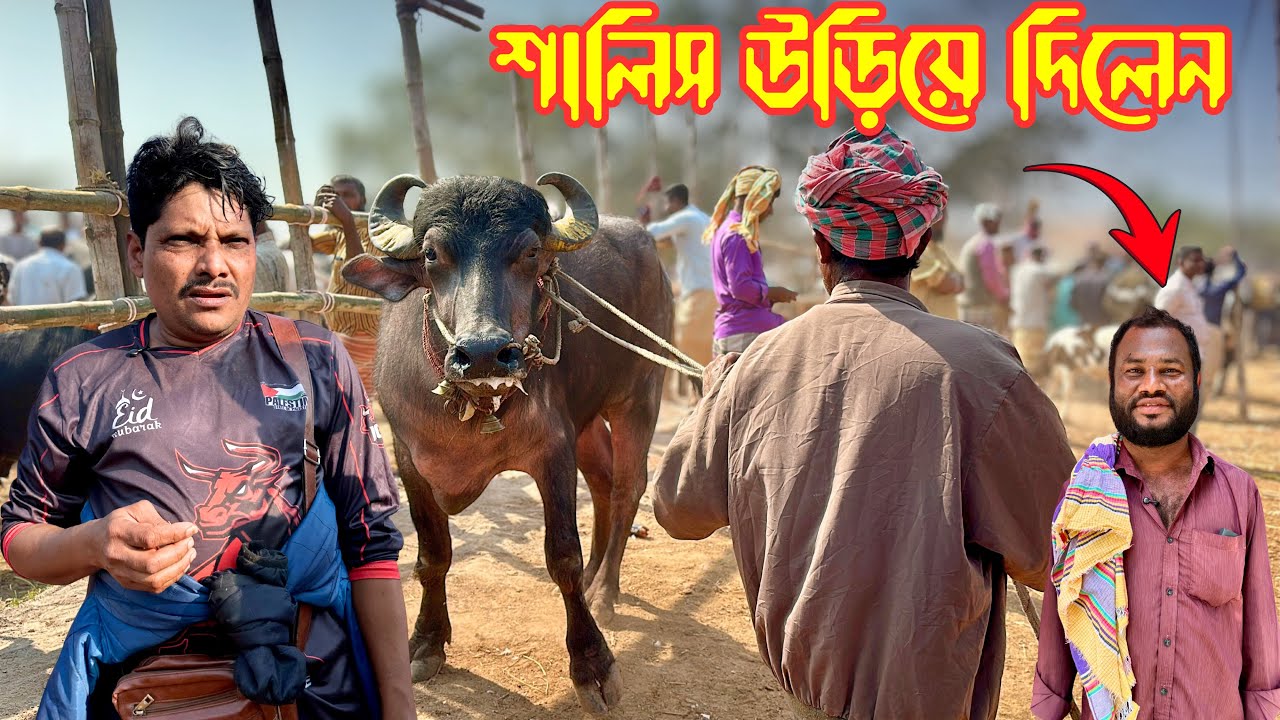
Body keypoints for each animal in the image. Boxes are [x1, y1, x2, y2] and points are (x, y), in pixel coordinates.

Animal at [343, 172, 672, 713]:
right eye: (431, 254)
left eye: (531, 252)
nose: (482, 353)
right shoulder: (408, 459)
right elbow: (432, 556)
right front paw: (426, 643)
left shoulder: (553, 450)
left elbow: (562, 557)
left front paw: (592, 665)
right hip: (587, 423)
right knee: (603, 483)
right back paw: (599, 572)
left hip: (640, 394)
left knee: (628, 486)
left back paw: (605, 589)